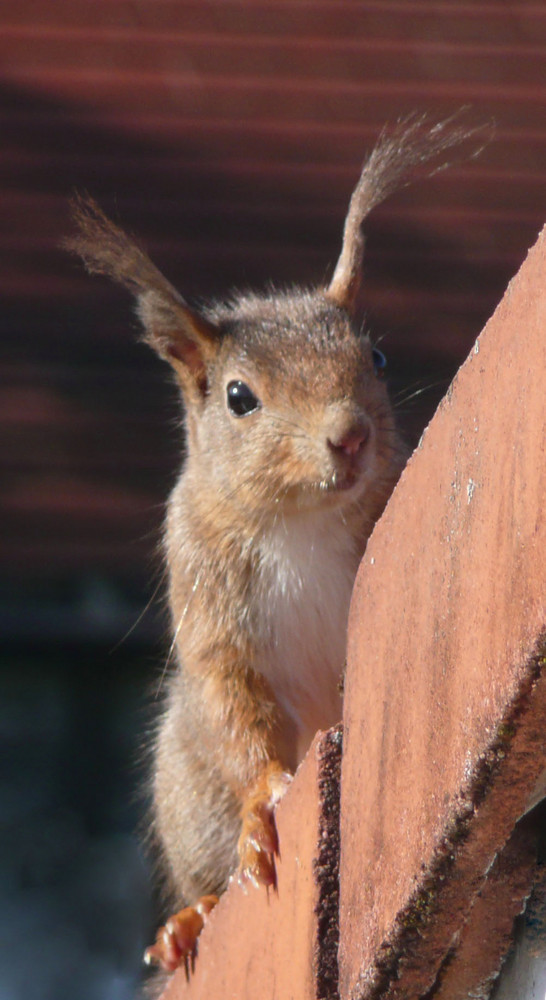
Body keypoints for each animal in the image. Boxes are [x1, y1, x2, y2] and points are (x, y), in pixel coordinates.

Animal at [67, 113, 480, 988]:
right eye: (238, 398)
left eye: (376, 359)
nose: (349, 436)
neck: (301, 523)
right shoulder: (212, 604)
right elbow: (241, 709)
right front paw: (265, 807)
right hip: (186, 784)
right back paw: (190, 920)